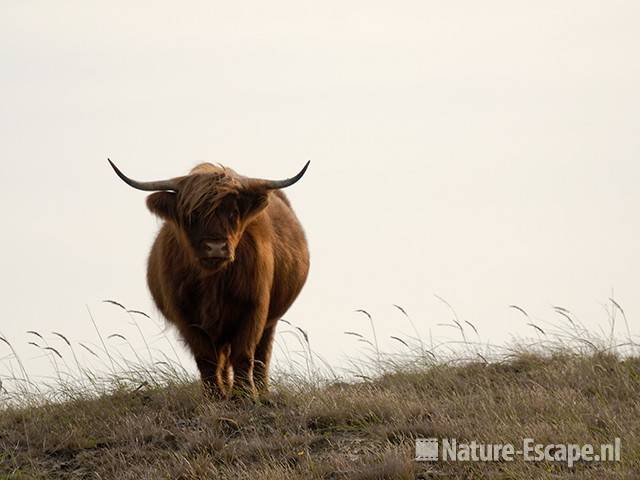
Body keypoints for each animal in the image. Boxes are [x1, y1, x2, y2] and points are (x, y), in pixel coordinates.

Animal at [109, 159, 310, 400]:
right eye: (192, 215)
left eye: (233, 212)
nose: (215, 247)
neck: (213, 281)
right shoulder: (186, 315)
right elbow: (206, 358)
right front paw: (214, 397)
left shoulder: (254, 307)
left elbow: (244, 353)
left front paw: (244, 396)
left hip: (270, 319)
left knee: (262, 354)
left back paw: (262, 391)